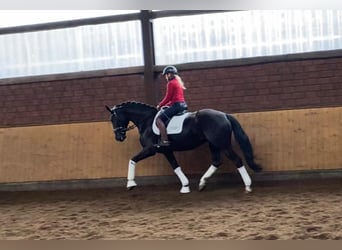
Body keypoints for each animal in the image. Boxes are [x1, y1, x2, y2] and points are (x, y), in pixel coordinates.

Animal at [105, 101, 264, 193]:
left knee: (237, 160)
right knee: (216, 161)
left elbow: (132, 160)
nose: (119, 137)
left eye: (114, 118)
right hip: (213, 144)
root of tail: (224, 115)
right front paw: (185, 186)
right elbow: (175, 167)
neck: (146, 121)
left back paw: (248, 186)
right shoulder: (167, 151)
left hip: (222, 144)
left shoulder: (150, 150)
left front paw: (130, 183)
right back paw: (202, 183)